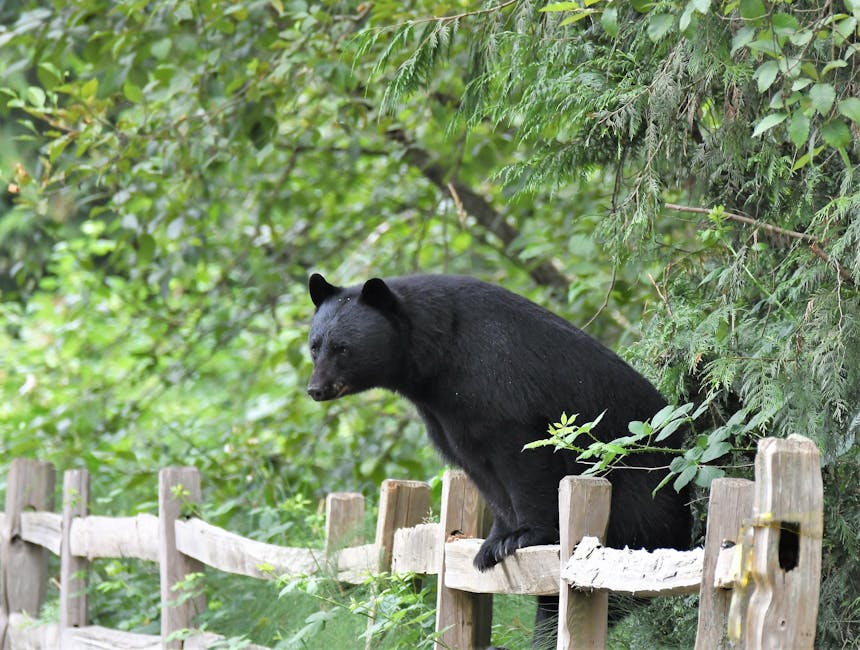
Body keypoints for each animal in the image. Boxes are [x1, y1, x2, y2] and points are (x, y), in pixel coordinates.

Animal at [307, 273, 691, 647]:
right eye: (314, 346)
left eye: (343, 347)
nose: (315, 389)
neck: (437, 359)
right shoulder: (446, 416)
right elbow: (480, 471)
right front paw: (492, 544)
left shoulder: (497, 380)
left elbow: (523, 457)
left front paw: (523, 536)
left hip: (639, 501)